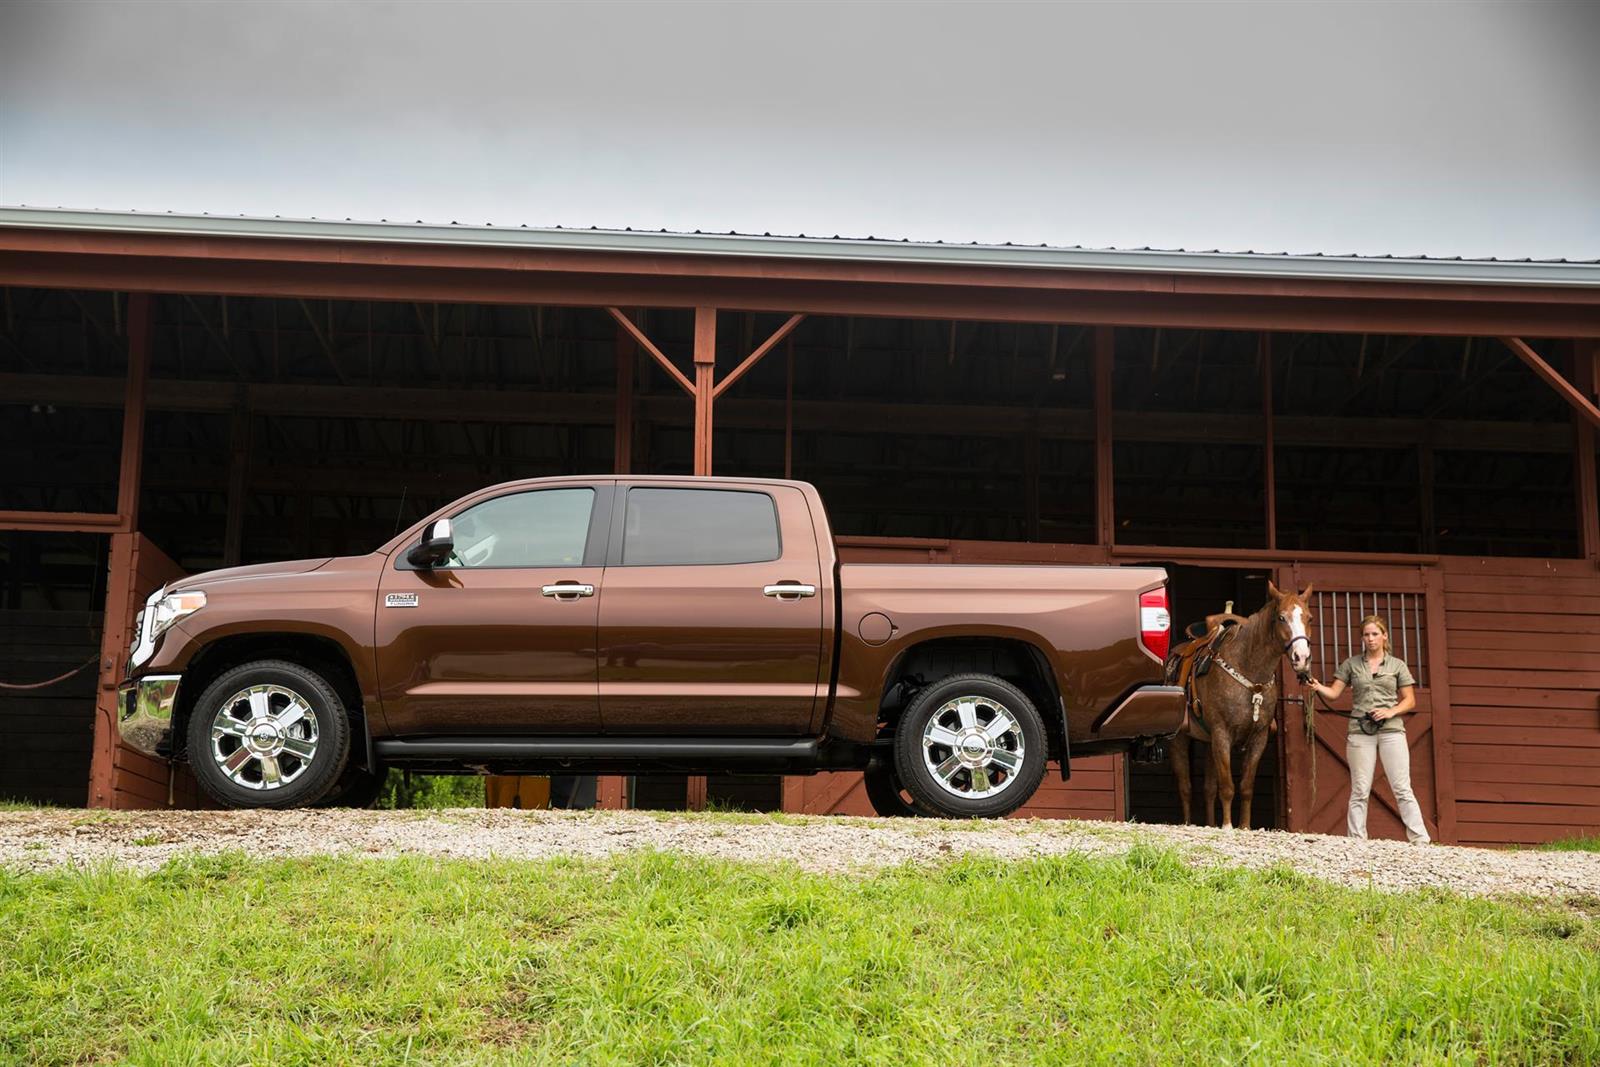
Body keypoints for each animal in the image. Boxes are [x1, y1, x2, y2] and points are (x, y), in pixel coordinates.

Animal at [1177, 585, 1312, 825]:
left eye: (1309, 618)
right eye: (1281, 617)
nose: (1302, 657)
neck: (1250, 671)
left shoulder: (1259, 738)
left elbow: (1246, 787)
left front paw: (1245, 826)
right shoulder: (1222, 734)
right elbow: (1227, 787)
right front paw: (1228, 825)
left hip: (1208, 742)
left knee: (1208, 788)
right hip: (1181, 739)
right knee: (1185, 787)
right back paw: (1188, 823)